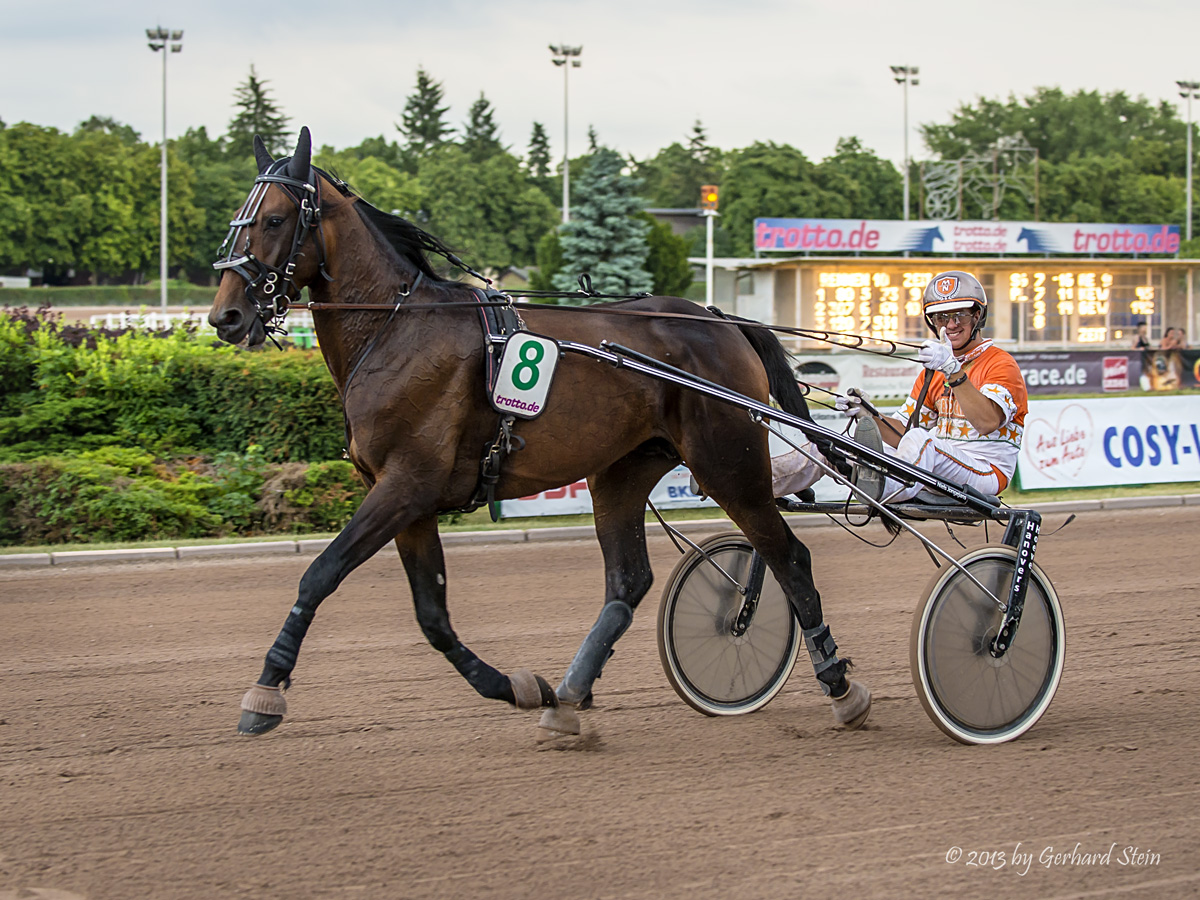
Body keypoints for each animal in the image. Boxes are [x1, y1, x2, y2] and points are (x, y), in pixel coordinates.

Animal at [201, 128, 868, 748]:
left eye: (275, 218)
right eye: (238, 219)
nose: (225, 317)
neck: (397, 330)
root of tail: (720, 319)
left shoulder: (405, 485)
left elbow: (320, 573)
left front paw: (266, 690)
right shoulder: (408, 499)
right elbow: (432, 615)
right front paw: (519, 686)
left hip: (729, 464)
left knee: (787, 557)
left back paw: (841, 686)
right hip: (622, 470)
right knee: (629, 581)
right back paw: (568, 697)